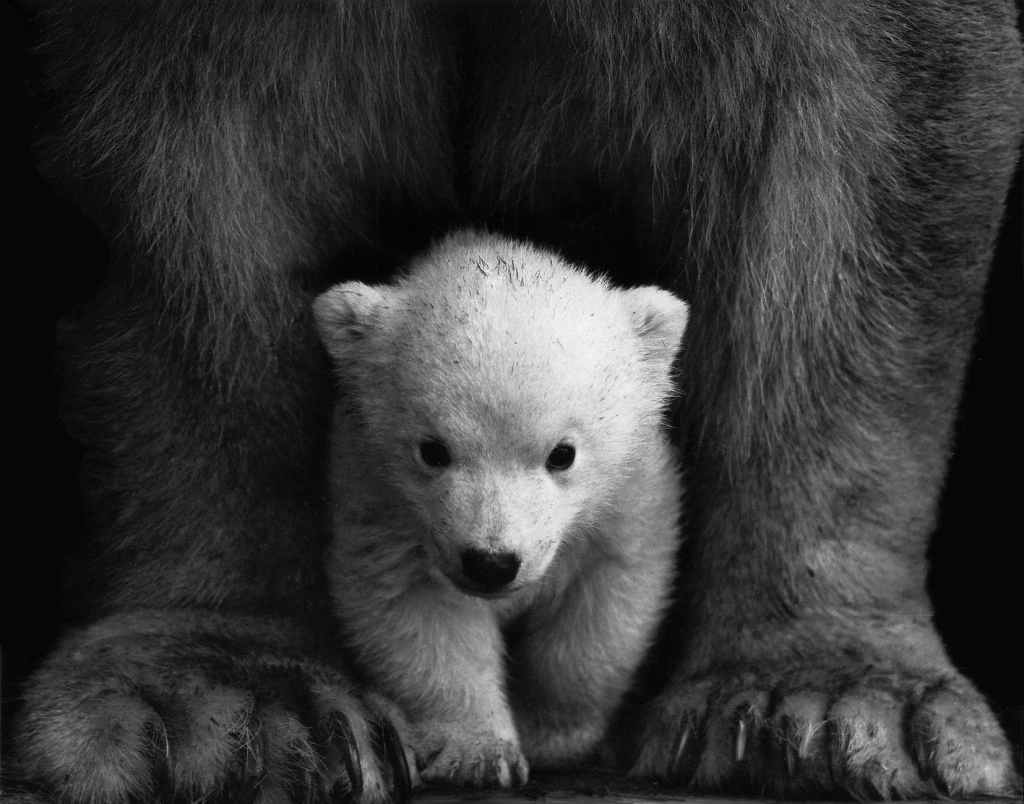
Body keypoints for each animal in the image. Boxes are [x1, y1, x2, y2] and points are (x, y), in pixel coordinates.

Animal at [312, 230, 687, 786]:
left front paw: (551, 735)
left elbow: (604, 604)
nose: (491, 563)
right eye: (433, 450)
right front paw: (480, 753)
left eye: (563, 454)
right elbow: (418, 611)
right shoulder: (379, 500)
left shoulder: (629, 496)